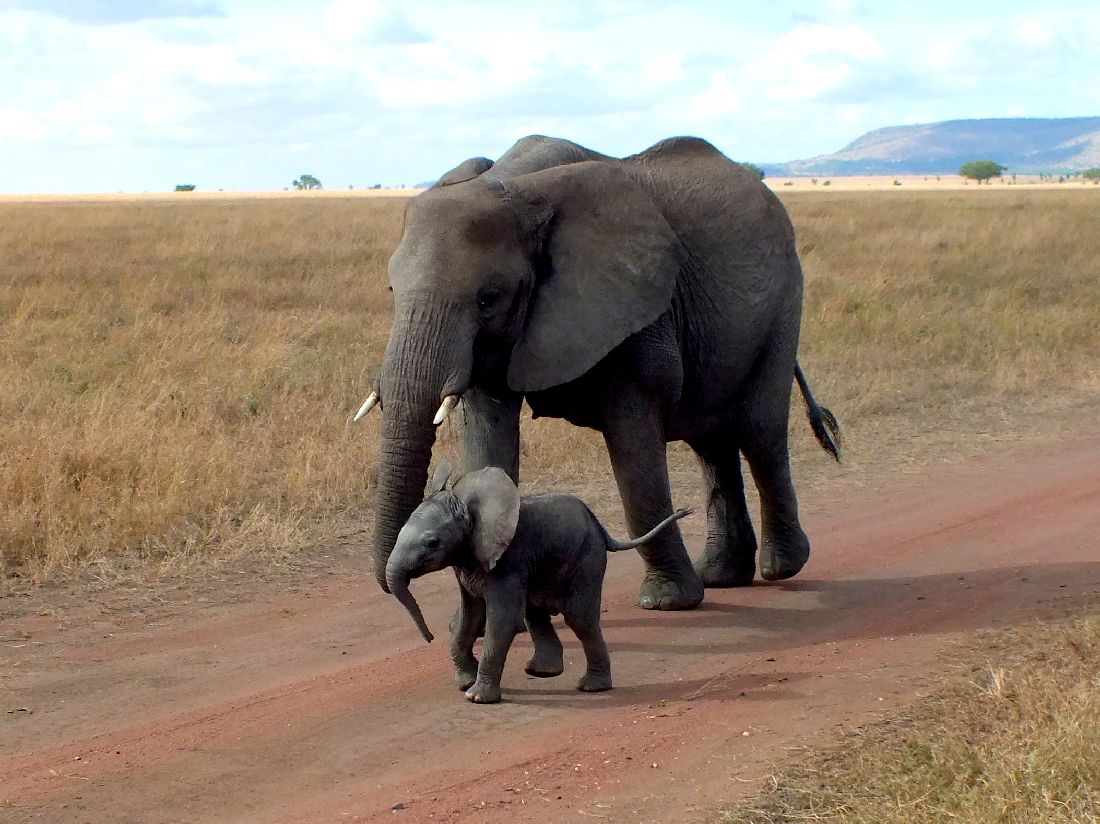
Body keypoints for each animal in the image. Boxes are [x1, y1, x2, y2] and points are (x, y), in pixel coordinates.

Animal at [356, 134, 836, 611]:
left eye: (488, 298)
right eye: (392, 290)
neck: (517, 186)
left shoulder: (636, 308)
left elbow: (634, 448)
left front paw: (667, 601)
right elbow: (488, 442)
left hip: (781, 305)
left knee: (759, 432)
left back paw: (781, 567)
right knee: (710, 444)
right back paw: (722, 576)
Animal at [385, 459, 686, 704]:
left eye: (432, 543)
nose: (429, 638)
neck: (467, 505)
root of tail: (601, 527)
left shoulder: (506, 561)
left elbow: (501, 620)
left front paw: (476, 697)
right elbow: (469, 618)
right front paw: (465, 683)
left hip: (587, 557)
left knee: (579, 618)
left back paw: (592, 687)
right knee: (536, 612)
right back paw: (542, 672)